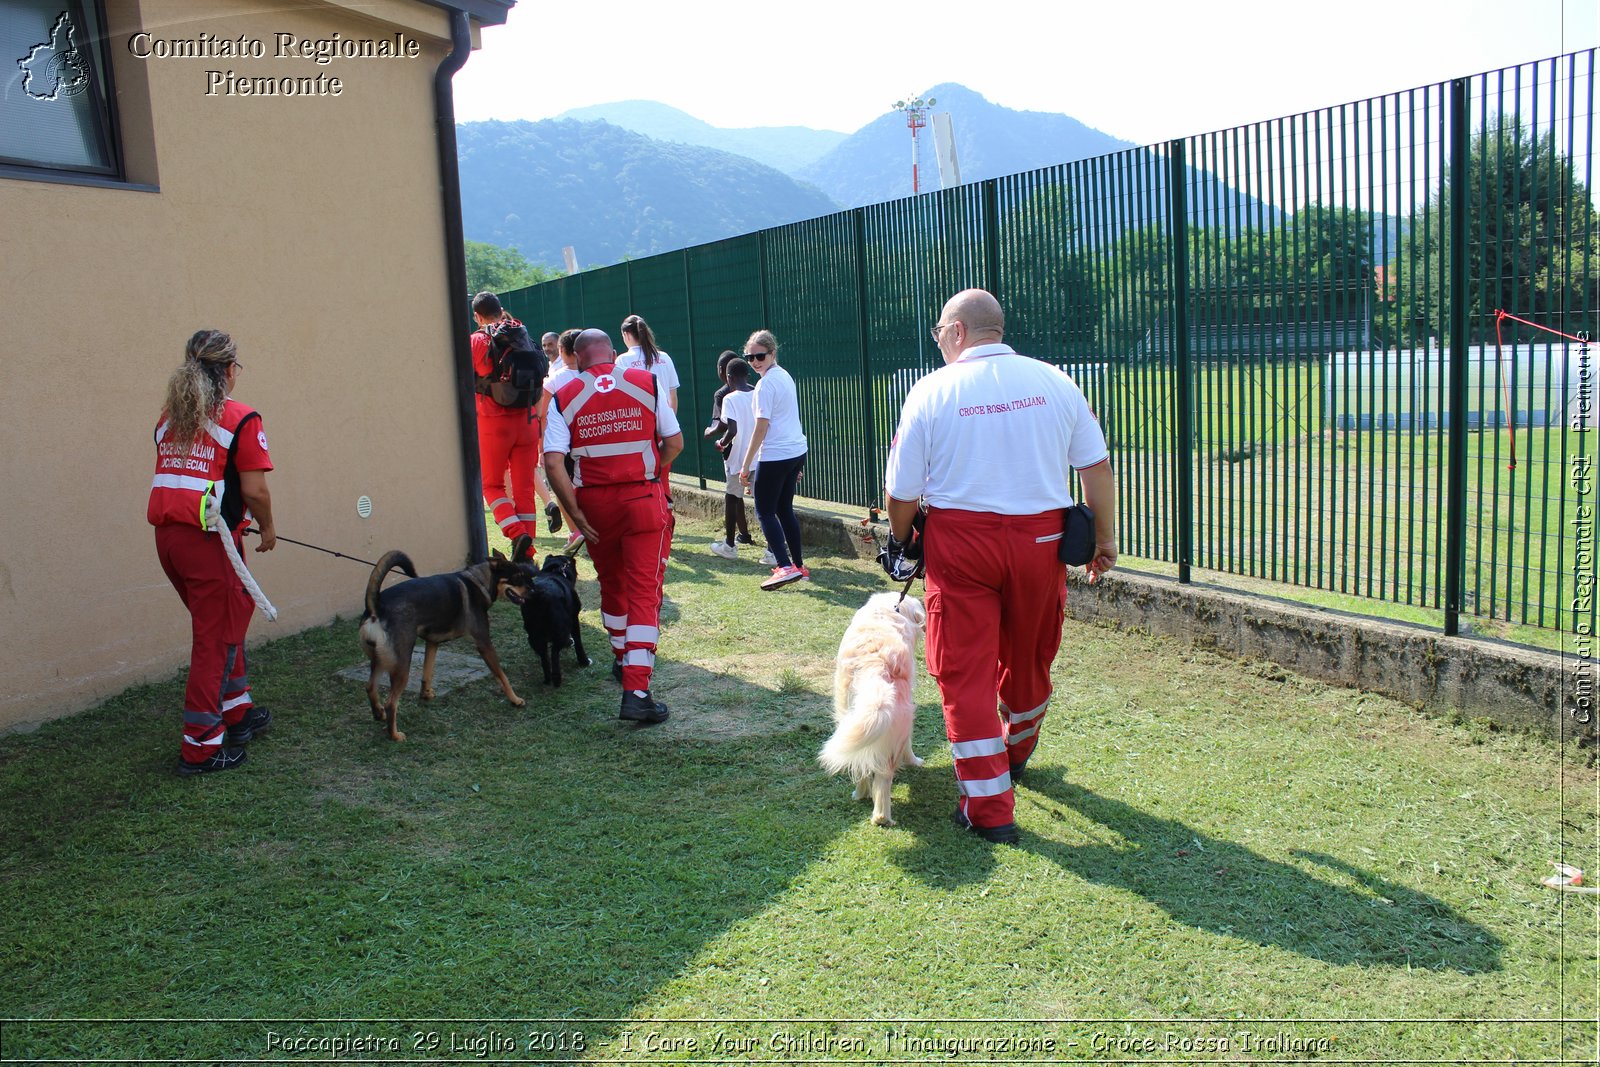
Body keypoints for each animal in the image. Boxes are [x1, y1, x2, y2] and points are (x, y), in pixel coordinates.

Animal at [356, 550, 531, 742]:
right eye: (517, 577)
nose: (533, 590)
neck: (479, 582)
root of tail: (376, 608)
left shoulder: (433, 642)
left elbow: (427, 672)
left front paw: (426, 694)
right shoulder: (484, 643)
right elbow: (502, 676)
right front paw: (515, 699)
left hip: (379, 660)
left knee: (370, 687)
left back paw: (378, 714)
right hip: (401, 663)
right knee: (391, 703)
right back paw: (394, 735)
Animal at [518, 556, 595, 687]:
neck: (554, 571)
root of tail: (541, 595)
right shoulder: (574, 618)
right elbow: (578, 642)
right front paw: (584, 661)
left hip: (534, 634)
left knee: (544, 657)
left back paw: (547, 679)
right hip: (561, 629)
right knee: (554, 652)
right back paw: (557, 679)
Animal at [819, 591, 934, 825]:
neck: (890, 609)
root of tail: (873, 667)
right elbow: (909, 746)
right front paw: (915, 761)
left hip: (850, 718)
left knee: (861, 764)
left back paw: (860, 794)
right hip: (895, 724)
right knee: (883, 778)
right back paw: (883, 818)